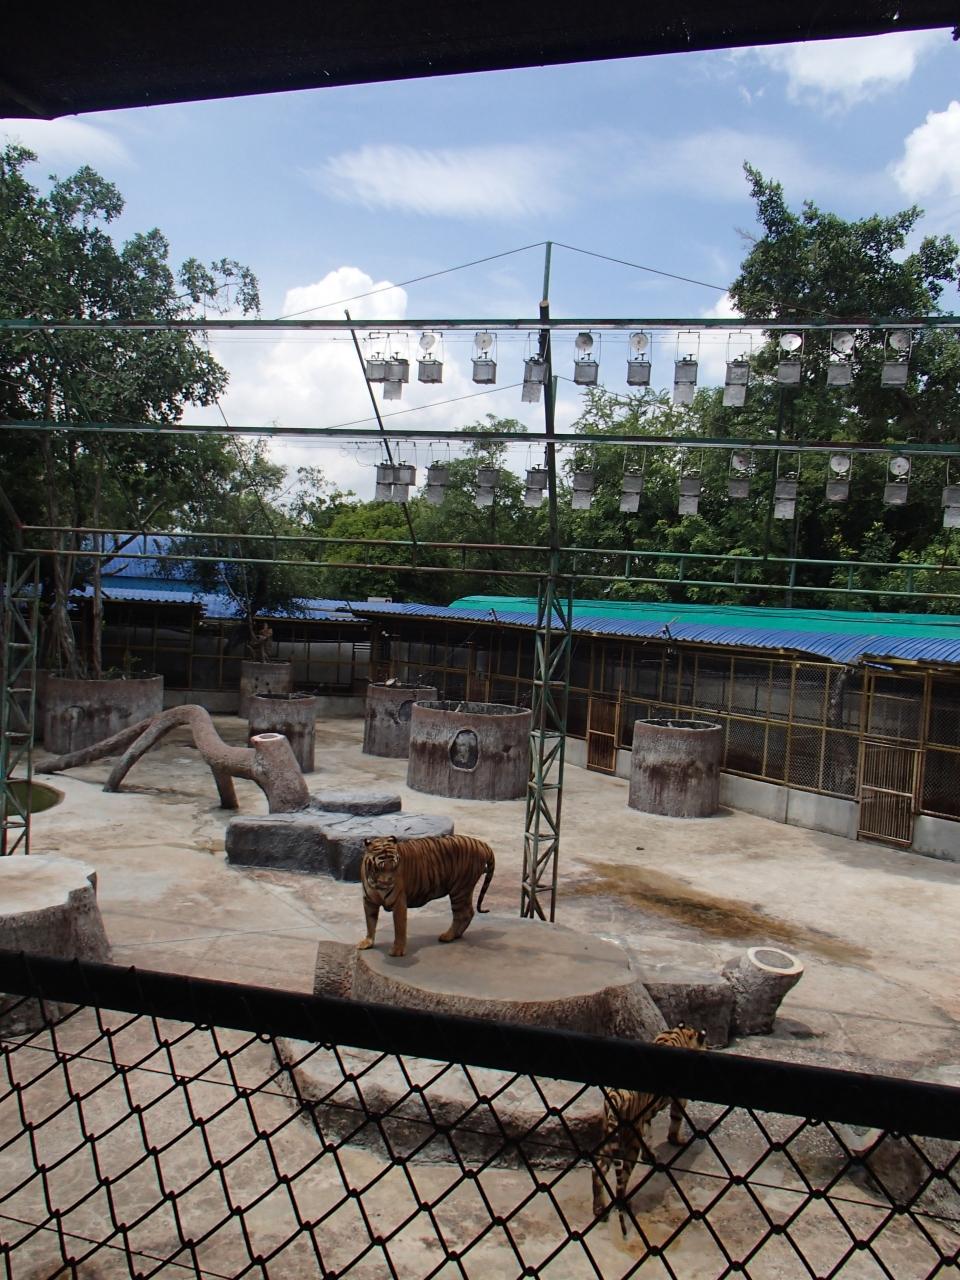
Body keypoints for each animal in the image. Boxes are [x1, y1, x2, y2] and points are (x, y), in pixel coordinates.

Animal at [357, 834, 495, 958]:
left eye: (394, 866)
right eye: (379, 867)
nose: (390, 882)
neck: (376, 884)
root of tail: (481, 843)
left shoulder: (398, 902)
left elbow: (399, 927)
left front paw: (397, 950)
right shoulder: (369, 901)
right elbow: (370, 922)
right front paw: (368, 942)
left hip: (460, 890)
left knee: (463, 914)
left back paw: (448, 936)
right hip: (462, 891)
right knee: (468, 912)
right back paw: (456, 935)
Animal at [592, 1023, 706, 1236]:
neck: (681, 1033)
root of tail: (615, 1097)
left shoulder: (644, 1118)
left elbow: (649, 1134)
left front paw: (651, 1155)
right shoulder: (679, 1099)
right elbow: (676, 1121)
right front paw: (677, 1140)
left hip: (608, 1138)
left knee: (598, 1170)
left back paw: (599, 1209)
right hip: (629, 1143)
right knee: (622, 1179)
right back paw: (623, 1202)